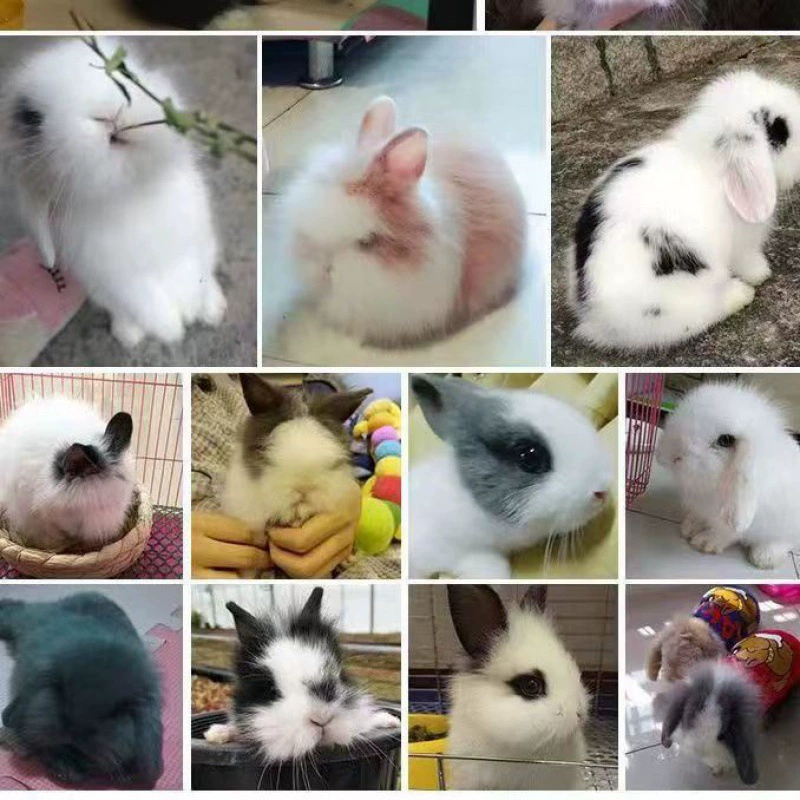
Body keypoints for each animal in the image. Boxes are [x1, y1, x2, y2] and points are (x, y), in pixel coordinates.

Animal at [0, 38, 226, 348]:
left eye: (124, 68)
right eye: (32, 117)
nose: (106, 113)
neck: (131, 193)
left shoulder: (192, 241)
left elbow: (193, 279)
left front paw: (189, 313)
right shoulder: (119, 280)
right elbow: (148, 304)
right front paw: (173, 331)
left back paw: (214, 311)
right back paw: (129, 336)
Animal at [0, 593, 163, 788]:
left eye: (116, 710)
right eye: (61, 688)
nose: (74, 731)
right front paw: (65, 768)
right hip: (24, 619)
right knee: (15, 608)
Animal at [568, 70, 800, 350]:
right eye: (780, 130)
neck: (714, 165)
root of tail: (594, 319)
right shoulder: (743, 247)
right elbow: (749, 261)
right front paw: (762, 274)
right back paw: (741, 294)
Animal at [656, 382, 800, 569]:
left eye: (725, 440)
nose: (670, 457)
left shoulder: (737, 523)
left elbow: (727, 533)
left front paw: (703, 543)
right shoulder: (703, 508)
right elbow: (699, 516)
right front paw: (688, 527)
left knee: (785, 541)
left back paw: (764, 557)